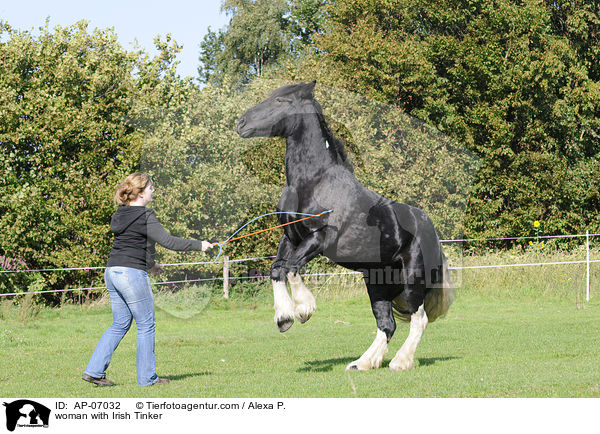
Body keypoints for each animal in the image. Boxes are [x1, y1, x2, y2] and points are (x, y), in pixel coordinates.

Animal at [237, 81, 452, 370]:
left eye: (281, 101)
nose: (241, 122)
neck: (313, 182)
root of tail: (431, 230)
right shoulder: (291, 238)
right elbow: (277, 270)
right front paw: (284, 318)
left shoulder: (320, 238)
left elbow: (291, 268)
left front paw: (303, 309)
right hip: (377, 282)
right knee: (387, 324)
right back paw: (362, 363)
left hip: (412, 277)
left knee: (419, 319)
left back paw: (400, 362)